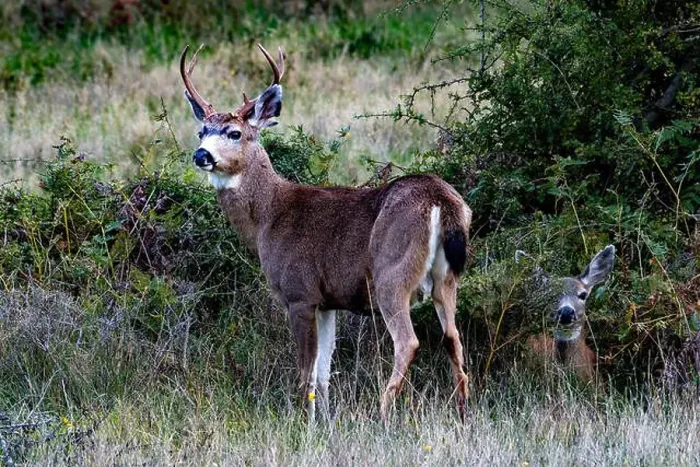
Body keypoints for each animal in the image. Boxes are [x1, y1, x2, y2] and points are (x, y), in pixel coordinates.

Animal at [178, 44, 472, 421]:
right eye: (201, 131)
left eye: (234, 133)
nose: (201, 155)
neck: (269, 217)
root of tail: (441, 200)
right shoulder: (328, 301)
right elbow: (324, 371)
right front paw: (325, 419)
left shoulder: (299, 293)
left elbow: (306, 370)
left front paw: (302, 420)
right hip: (447, 277)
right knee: (453, 338)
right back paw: (462, 413)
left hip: (392, 273)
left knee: (408, 341)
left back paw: (383, 412)